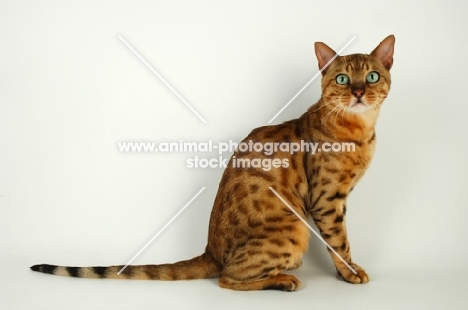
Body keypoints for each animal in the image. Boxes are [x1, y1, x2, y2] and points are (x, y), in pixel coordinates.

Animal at [30, 35, 394, 292]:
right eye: (343, 79)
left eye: (372, 77)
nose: (358, 92)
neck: (361, 131)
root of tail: (209, 251)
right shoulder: (327, 199)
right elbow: (340, 242)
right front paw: (351, 273)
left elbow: (339, 240)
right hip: (293, 229)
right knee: (227, 278)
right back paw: (282, 280)